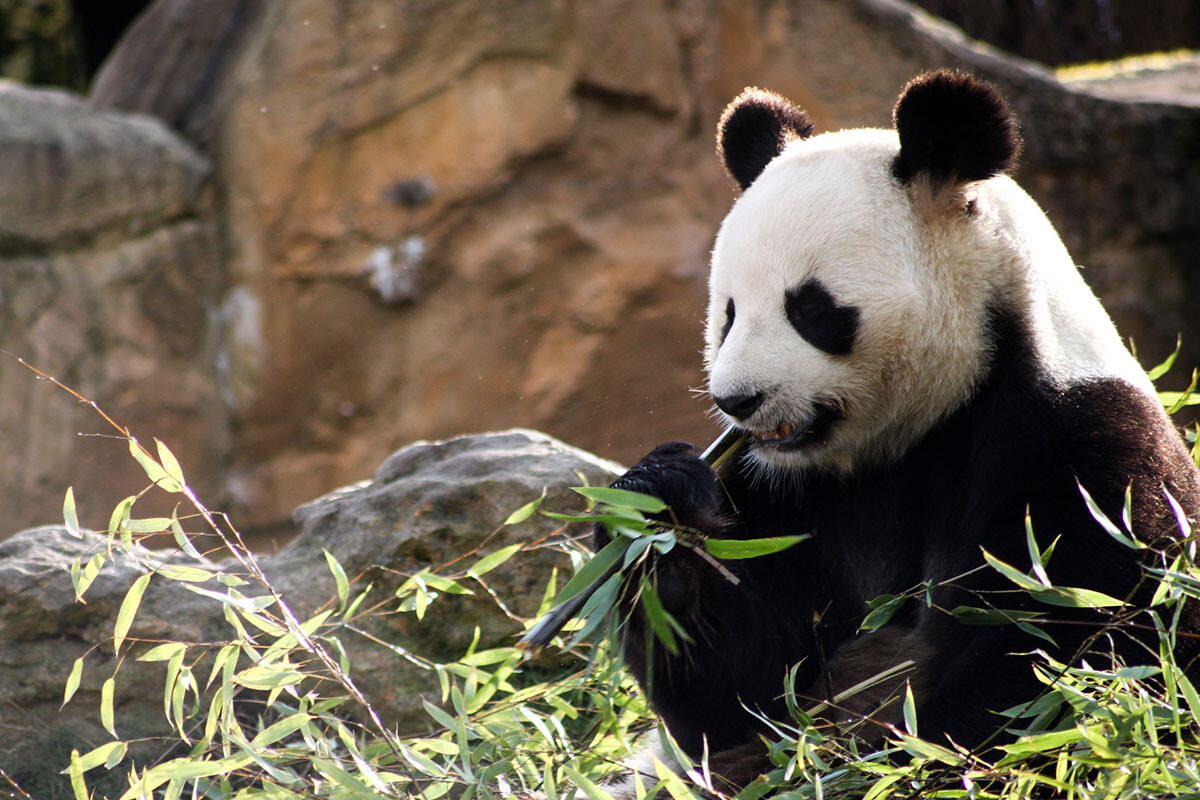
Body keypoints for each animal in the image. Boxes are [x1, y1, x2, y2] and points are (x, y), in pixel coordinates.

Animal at [597, 70, 1200, 796]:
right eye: (729, 313)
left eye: (811, 310)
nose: (737, 400)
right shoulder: (780, 491)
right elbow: (741, 687)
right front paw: (658, 506)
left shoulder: (1082, 448)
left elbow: (1082, 648)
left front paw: (895, 758)